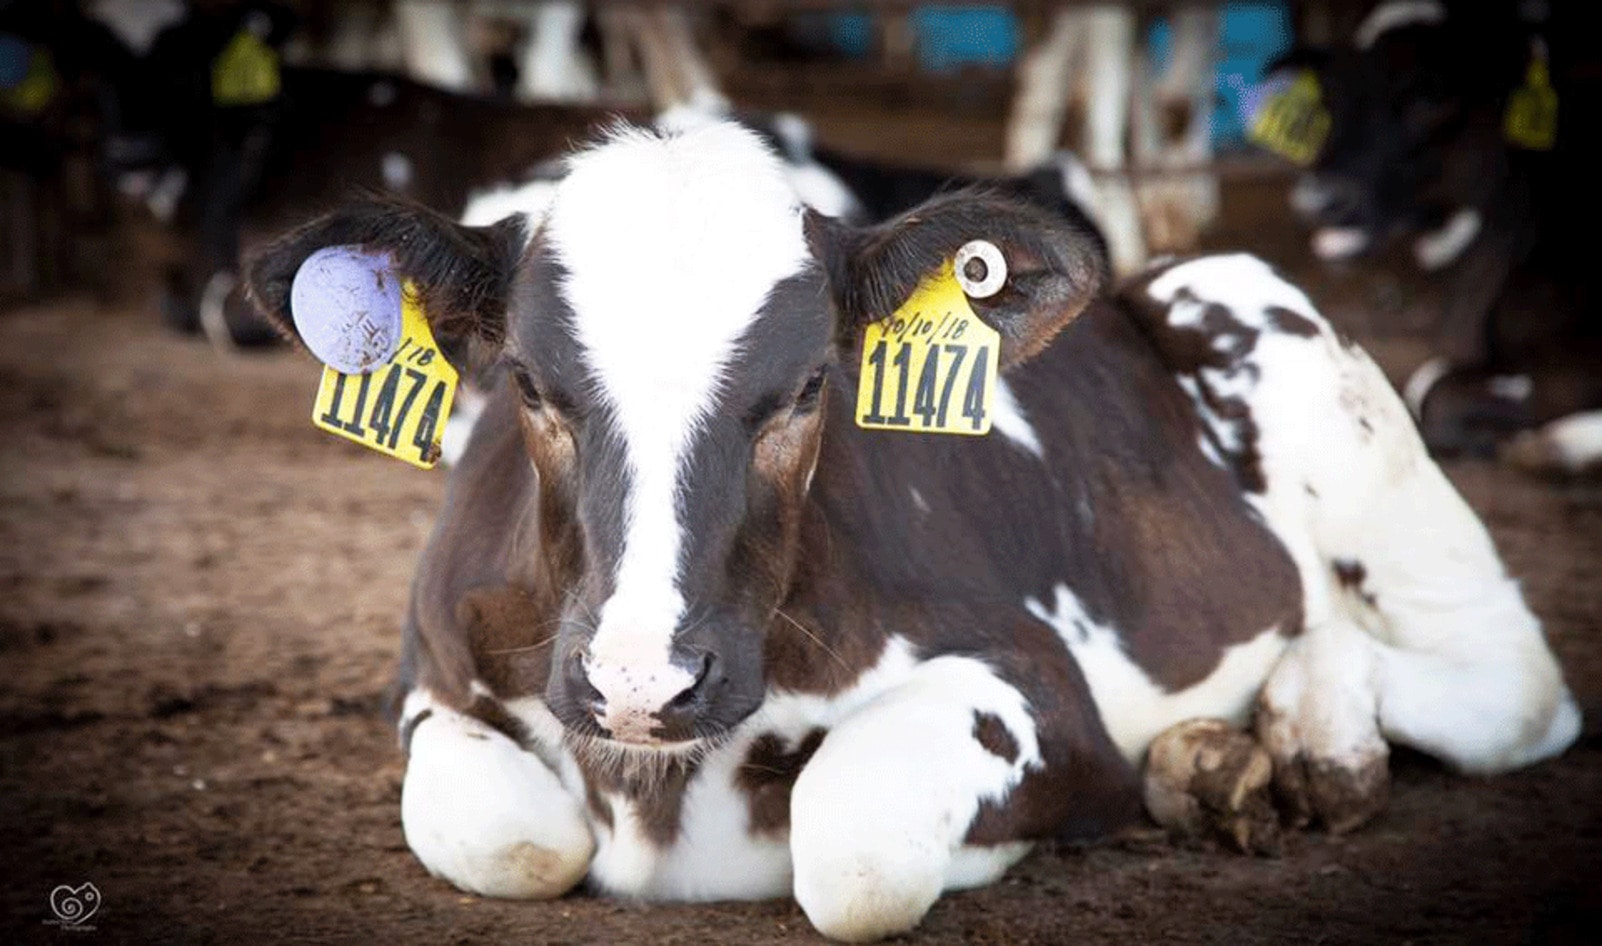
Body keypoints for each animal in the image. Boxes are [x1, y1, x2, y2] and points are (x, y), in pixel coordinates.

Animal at [243, 124, 1582, 941]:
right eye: (526, 383)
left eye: (806, 388)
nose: (641, 680)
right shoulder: (432, 675)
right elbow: (511, 835)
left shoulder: (1039, 691)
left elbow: (857, 849)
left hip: (1324, 389)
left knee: (1508, 685)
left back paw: (1302, 736)